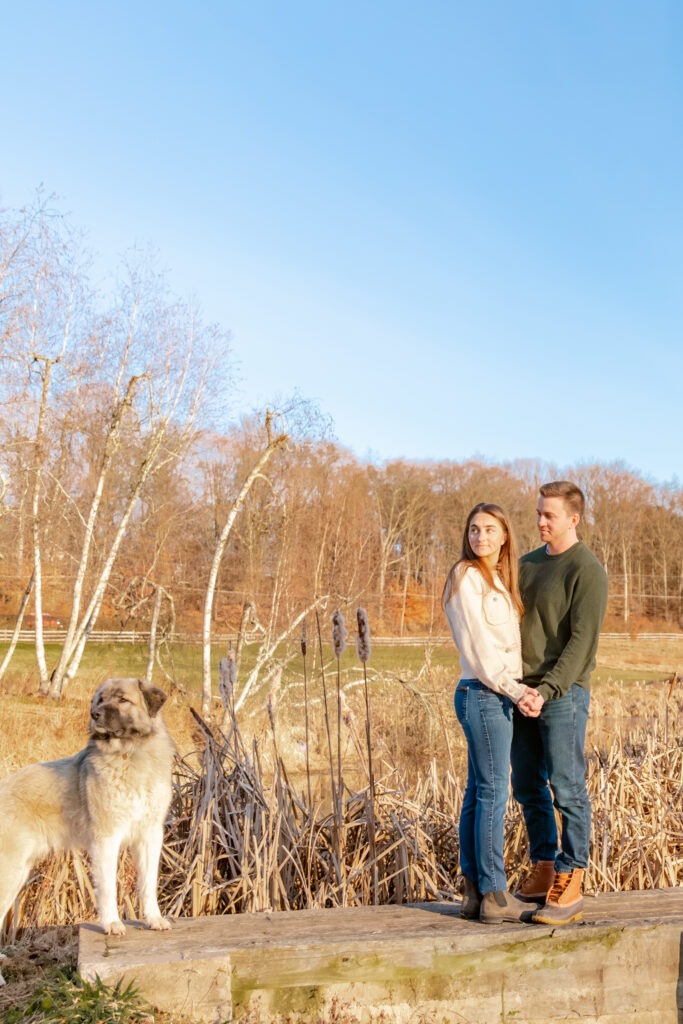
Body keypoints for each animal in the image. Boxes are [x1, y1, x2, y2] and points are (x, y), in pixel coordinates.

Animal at [0, 679, 176, 983]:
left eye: (122, 700)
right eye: (100, 700)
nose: (94, 715)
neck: (129, 754)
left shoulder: (149, 836)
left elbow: (148, 884)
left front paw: (153, 919)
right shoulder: (106, 839)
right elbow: (107, 887)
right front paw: (112, 924)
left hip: (18, 874)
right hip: (9, 874)